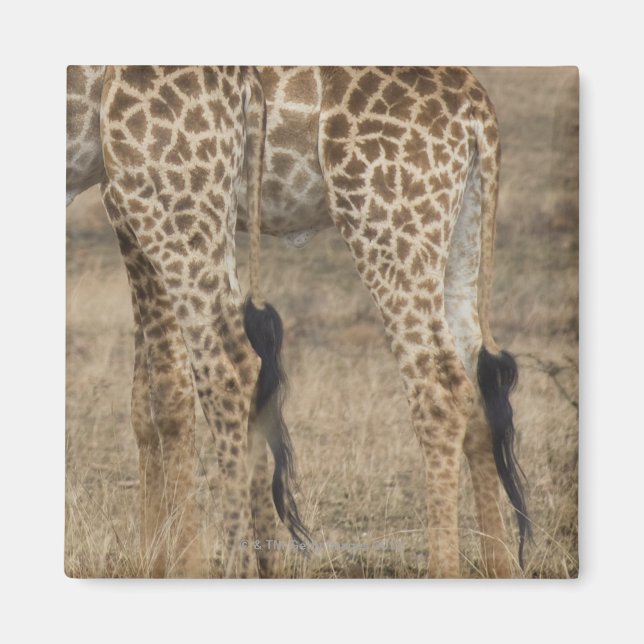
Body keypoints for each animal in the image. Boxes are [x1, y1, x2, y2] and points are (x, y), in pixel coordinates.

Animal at [66, 65, 528, 578]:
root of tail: (478, 110)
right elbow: (145, 401)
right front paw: (158, 560)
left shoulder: (129, 199)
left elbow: (167, 397)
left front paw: (174, 563)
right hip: (460, 234)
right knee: (477, 383)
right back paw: (498, 567)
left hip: (384, 225)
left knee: (437, 385)